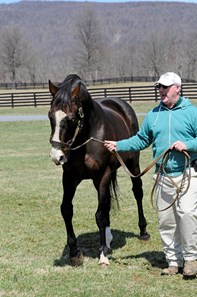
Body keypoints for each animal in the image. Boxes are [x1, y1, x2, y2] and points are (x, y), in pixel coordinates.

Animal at [47, 74, 149, 266]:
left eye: (72, 119)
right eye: (50, 116)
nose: (57, 156)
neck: (87, 137)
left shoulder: (103, 175)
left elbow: (100, 214)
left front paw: (102, 255)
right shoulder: (70, 177)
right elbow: (67, 209)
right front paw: (74, 253)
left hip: (132, 164)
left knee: (137, 192)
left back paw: (143, 232)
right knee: (107, 202)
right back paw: (108, 240)